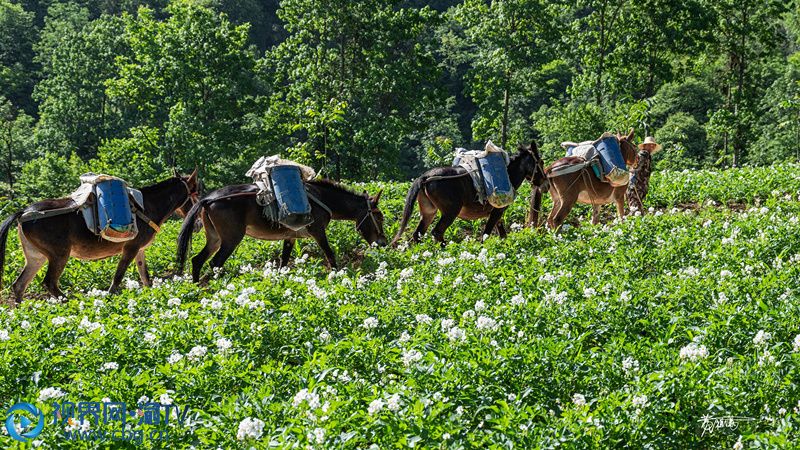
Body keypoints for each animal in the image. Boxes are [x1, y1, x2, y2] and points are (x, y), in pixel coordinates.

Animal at [0, 171, 200, 304]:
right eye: (196, 193)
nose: (198, 224)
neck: (146, 206)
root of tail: (24, 213)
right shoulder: (131, 248)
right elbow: (118, 278)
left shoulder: (139, 250)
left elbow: (145, 278)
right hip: (59, 255)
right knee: (49, 283)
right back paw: (71, 304)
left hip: (36, 257)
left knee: (19, 285)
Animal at [177, 178, 388, 280]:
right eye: (379, 216)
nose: (384, 243)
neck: (322, 198)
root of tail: (208, 199)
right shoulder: (318, 232)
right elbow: (330, 254)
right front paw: (337, 276)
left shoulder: (290, 236)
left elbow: (284, 262)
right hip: (231, 239)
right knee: (215, 264)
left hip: (214, 239)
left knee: (197, 261)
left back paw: (197, 289)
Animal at [390, 142, 548, 244]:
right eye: (541, 162)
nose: (546, 183)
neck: (508, 174)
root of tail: (425, 177)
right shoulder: (497, 211)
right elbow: (486, 234)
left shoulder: (496, 213)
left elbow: (502, 234)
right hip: (450, 212)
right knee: (437, 232)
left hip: (429, 212)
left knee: (418, 234)